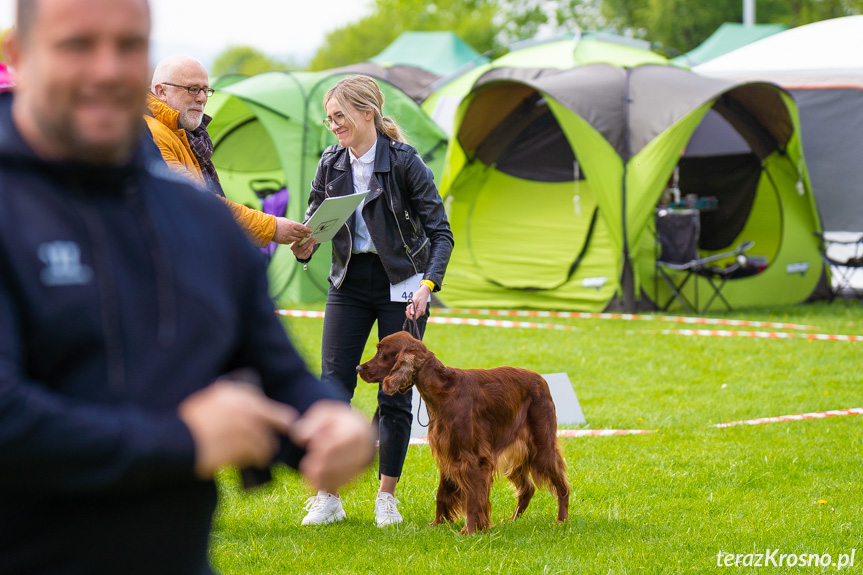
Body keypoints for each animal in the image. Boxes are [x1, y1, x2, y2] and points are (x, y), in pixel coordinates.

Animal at [360, 332, 572, 536]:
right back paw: (512, 520)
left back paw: (561, 520)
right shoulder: (447, 454)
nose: (358, 368)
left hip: (541, 447)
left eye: (381, 352)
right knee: (527, 488)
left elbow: (473, 498)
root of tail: (541, 379)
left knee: (562, 486)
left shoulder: (474, 459)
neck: (442, 391)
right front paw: (437, 524)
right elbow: (442, 493)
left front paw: (470, 530)